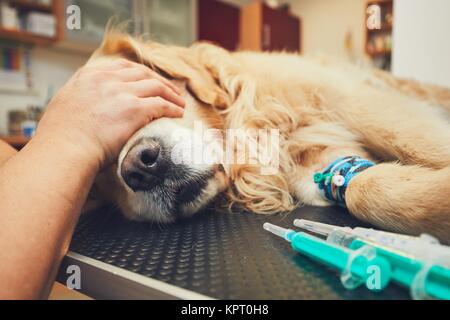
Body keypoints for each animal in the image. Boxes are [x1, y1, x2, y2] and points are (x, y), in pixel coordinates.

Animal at [87, 31, 450, 242]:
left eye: (144, 95)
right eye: (98, 169)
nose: (140, 167)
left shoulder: (358, 103)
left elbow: (421, 145)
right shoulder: (321, 169)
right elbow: (367, 190)